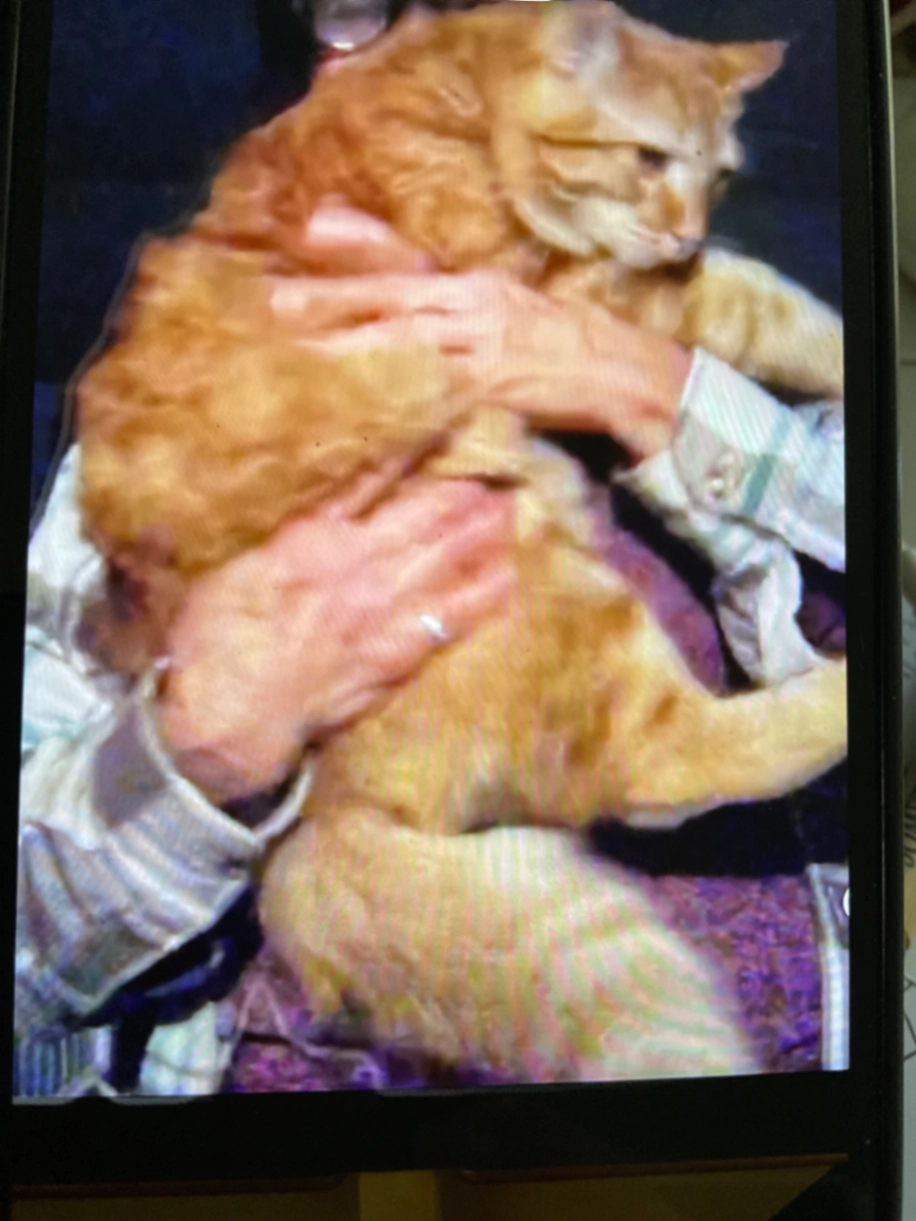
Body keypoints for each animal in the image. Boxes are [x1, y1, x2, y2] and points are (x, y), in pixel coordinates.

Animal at [76, 2, 846, 1082]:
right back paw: (848, 690)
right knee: (669, 762)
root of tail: (314, 814)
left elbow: (747, 303)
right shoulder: (591, 291)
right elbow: (769, 304)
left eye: (718, 174)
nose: (685, 228)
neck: (456, 95)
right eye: (648, 158)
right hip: (552, 587)